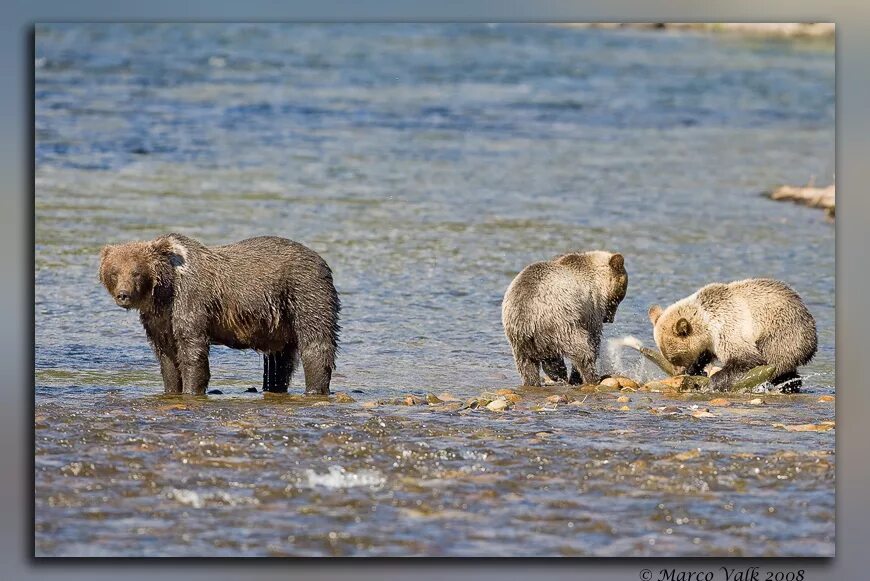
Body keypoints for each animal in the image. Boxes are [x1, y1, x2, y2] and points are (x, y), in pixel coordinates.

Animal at [97, 233, 338, 396]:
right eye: (114, 272)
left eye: (136, 272)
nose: (124, 295)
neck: (165, 291)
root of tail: (321, 260)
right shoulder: (158, 319)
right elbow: (167, 356)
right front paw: (172, 388)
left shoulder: (190, 299)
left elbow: (192, 348)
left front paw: (191, 389)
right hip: (279, 324)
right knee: (279, 359)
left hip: (304, 291)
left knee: (315, 341)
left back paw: (315, 387)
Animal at [652, 278, 820, 392]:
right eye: (671, 358)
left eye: (675, 358)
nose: (677, 372)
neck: (706, 324)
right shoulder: (710, 342)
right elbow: (704, 355)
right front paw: (696, 369)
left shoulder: (727, 327)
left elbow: (745, 359)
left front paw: (712, 382)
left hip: (782, 331)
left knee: (775, 361)